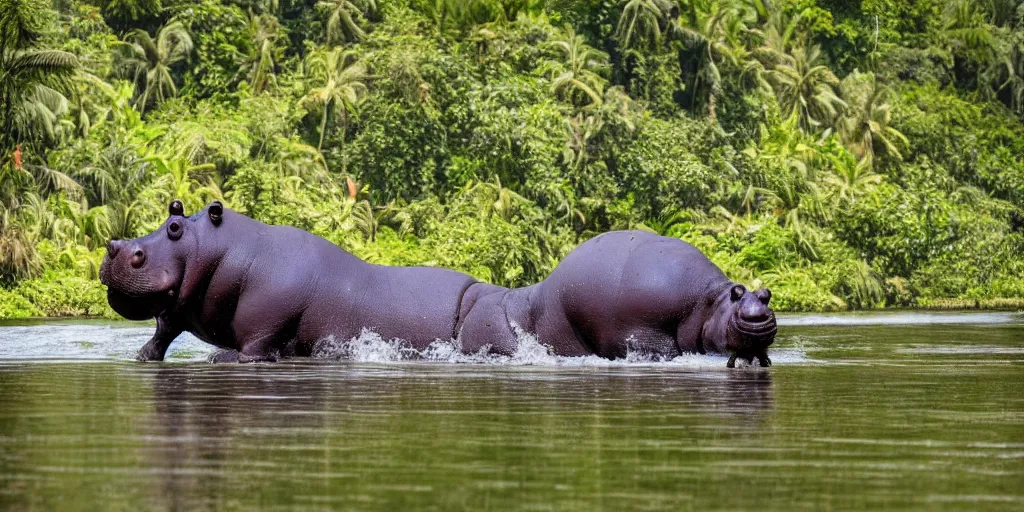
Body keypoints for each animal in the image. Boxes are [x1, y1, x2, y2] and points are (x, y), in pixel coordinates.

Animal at [101, 197, 774, 366]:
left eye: (176, 228)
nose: (115, 247)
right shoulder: (181, 308)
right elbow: (163, 329)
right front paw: (143, 357)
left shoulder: (266, 322)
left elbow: (252, 346)